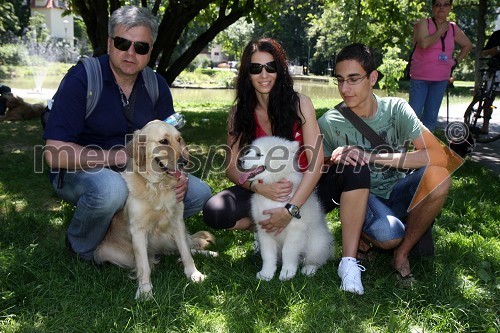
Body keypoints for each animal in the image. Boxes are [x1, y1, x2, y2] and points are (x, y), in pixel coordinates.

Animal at [238, 136, 332, 280]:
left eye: (259, 154)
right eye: (249, 152)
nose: (239, 161)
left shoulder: (295, 231)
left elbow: (288, 252)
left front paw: (287, 273)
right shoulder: (263, 230)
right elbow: (267, 255)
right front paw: (266, 274)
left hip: (317, 243)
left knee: (316, 259)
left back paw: (308, 269)